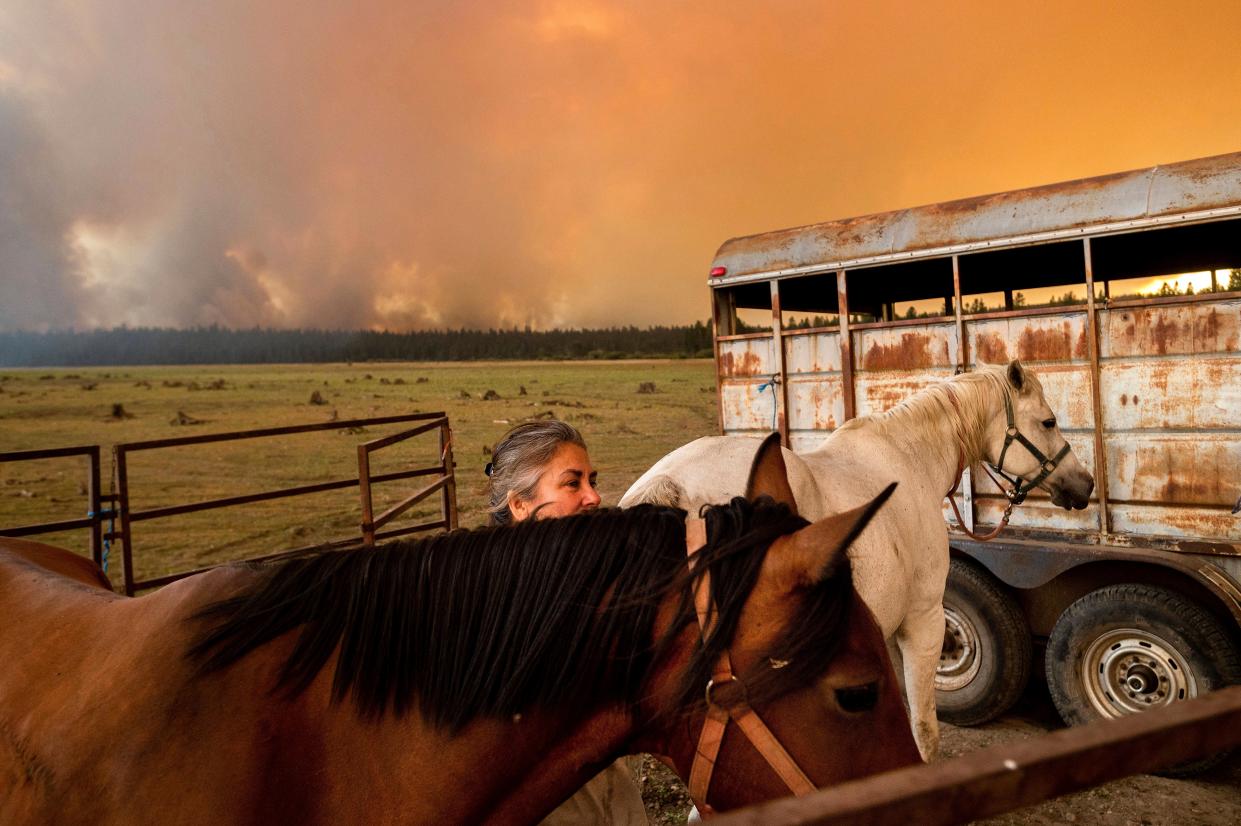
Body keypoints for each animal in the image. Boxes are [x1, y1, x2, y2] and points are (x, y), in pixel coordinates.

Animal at [625, 359, 1092, 759]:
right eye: (1048, 422)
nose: (1084, 485)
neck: (911, 460)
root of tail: (667, 488)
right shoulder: (924, 620)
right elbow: (925, 730)